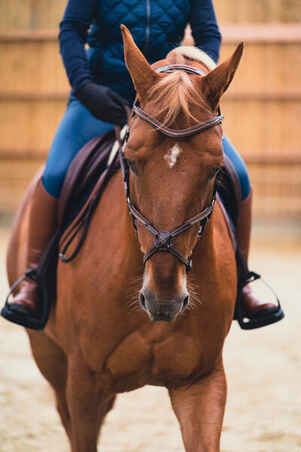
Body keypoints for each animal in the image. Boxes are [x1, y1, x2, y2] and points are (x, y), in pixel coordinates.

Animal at [6, 27, 241, 452]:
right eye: (130, 160)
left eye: (215, 168)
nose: (163, 299)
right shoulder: (83, 385)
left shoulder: (203, 380)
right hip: (50, 358)